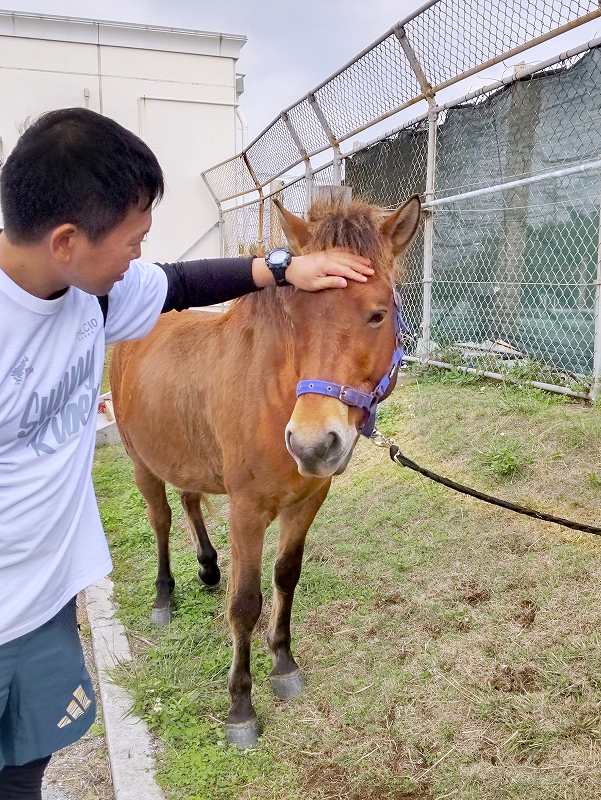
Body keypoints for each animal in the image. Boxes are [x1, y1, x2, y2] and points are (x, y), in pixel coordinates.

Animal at [111, 195, 422, 752]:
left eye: (377, 314)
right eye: (296, 320)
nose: (313, 443)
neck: (275, 396)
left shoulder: (308, 499)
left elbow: (286, 577)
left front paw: (283, 663)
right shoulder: (248, 511)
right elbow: (245, 604)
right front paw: (240, 707)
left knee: (189, 501)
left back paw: (208, 568)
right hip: (141, 462)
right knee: (161, 521)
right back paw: (165, 596)